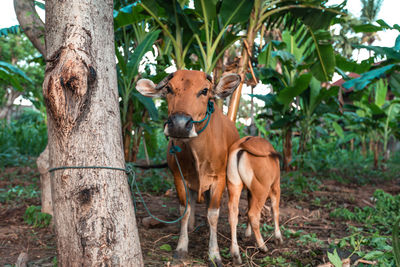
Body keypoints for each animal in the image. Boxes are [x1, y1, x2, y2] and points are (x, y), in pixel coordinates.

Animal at [227, 138, 282, 266]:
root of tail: (242, 146)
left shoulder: (250, 191)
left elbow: (248, 206)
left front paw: (247, 234)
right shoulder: (276, 186)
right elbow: (275, 210)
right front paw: (278, 237)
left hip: (234, 185)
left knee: (233, 214)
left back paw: (236, 255)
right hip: (262, 190)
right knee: (253, 214)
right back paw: (262, 246)